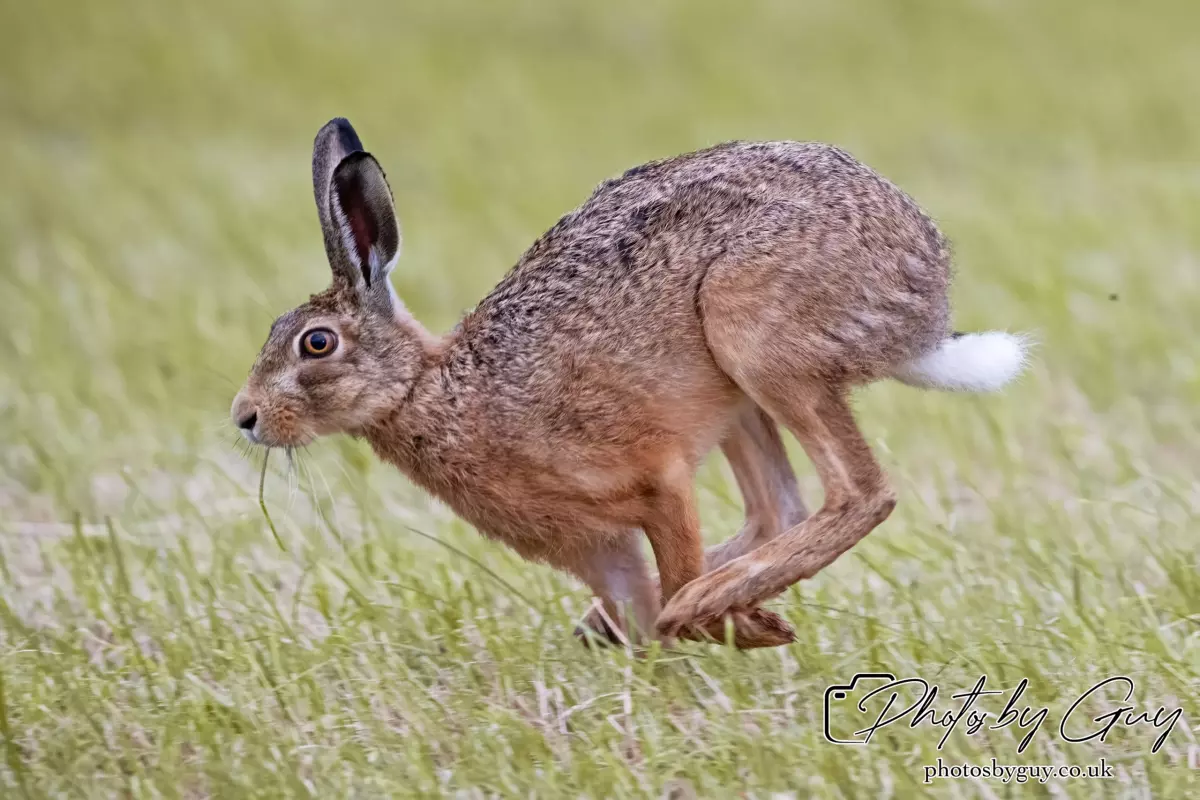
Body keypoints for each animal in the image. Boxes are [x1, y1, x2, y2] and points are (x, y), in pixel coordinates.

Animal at [231, 118, 1028, 649]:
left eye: (316, 343)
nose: (245, 417)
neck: (431, 388)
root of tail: (925, 301)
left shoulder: (655, 483)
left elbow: (668, 569)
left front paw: (714, 627)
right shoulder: (601, 550)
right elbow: (641, 594)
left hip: (753, 334)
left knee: (858, 495)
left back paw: (711, 603)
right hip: (736, 393)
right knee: (779, 505)